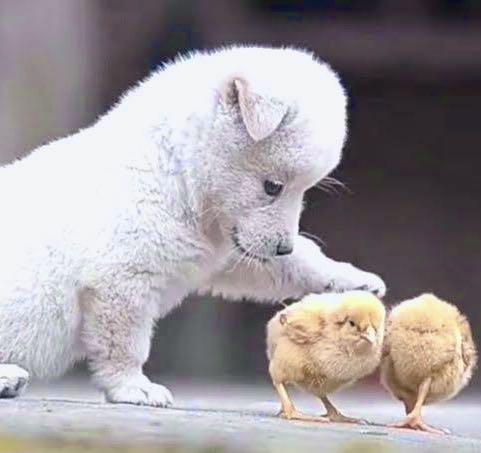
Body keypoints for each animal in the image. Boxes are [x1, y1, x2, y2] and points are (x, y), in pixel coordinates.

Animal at [0, 46, 385, 405]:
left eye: (305, 189)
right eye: (273, 186)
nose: (282, 246)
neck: (177, 177)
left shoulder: (223, 244)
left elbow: (270, 266)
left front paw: (354, 281)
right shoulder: (123, 273)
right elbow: (124, 337)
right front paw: (133, 386)